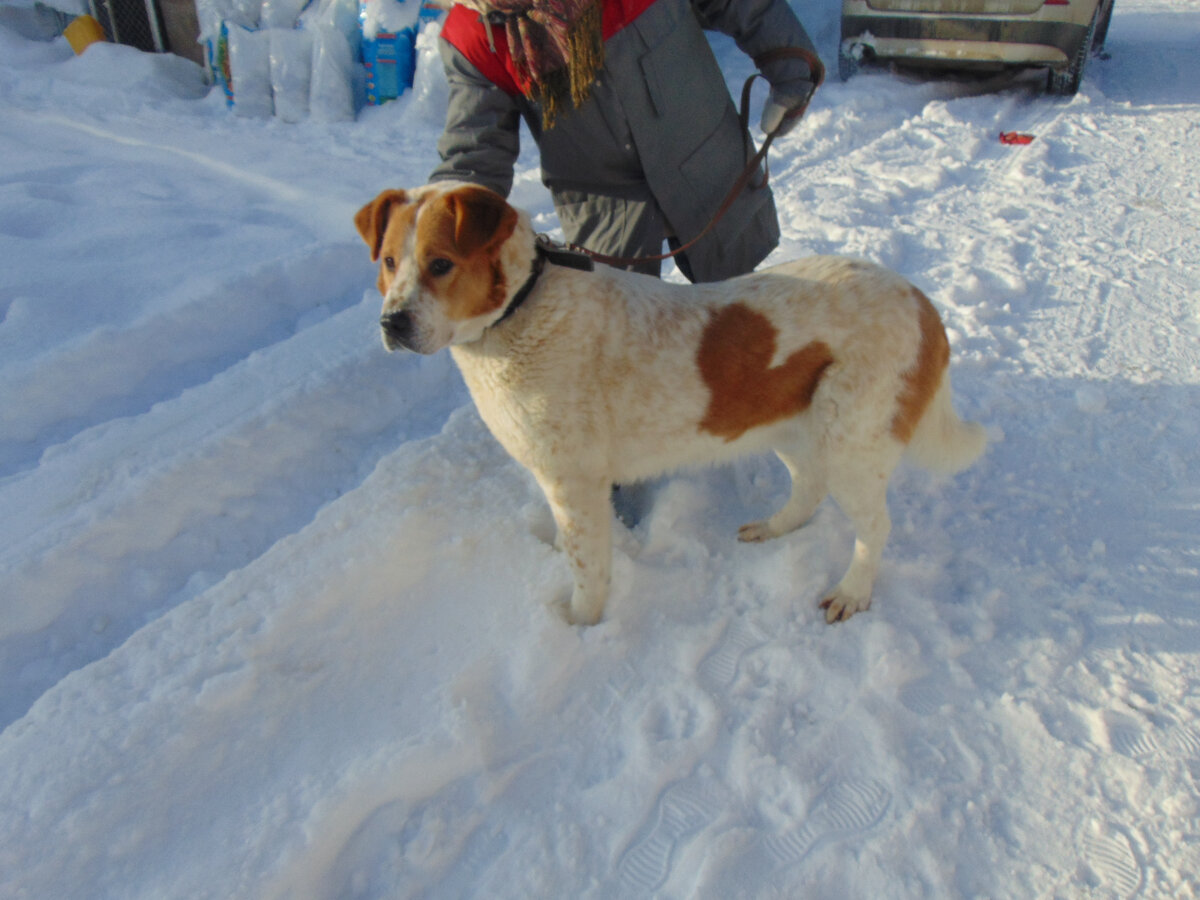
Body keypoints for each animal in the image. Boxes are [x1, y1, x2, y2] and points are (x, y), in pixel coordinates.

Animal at [352, 183, 984, 628]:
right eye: (388, 263)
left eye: (441, 264)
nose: (392, 323)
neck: (521, 309)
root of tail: (921, 300)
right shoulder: (560, 479)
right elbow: (571, 543)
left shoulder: (576, 481)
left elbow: (588, 569)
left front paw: (579, 628)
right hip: (794, 425)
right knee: (809, 486)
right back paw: (774, 527)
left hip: (852, 441)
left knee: (874, 526)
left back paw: (852, 593)